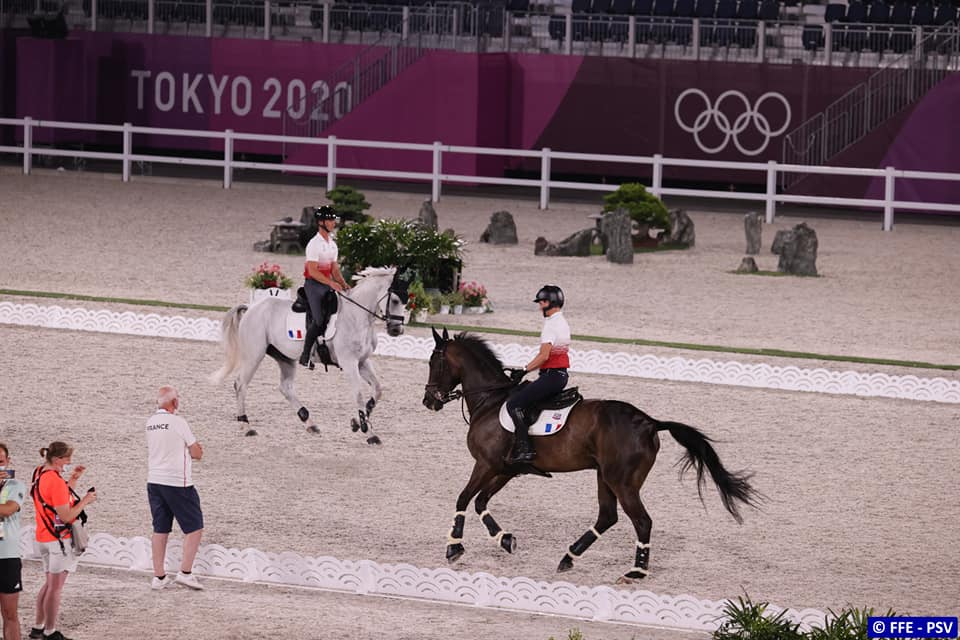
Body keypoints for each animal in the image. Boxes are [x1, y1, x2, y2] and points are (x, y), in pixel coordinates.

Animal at [420, 328, 756, 584]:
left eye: (434, 362)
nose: (428, 401)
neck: (491, 401)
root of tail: (649, 422)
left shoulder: (486, 464)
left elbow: (463, 499)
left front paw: (454, 547)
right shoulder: (505, 469)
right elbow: (480, 502)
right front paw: (505, 539)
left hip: (621, 481)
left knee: (642, 521)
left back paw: (635, 572)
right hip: (605, 476)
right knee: (607, 516)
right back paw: (569, 557)